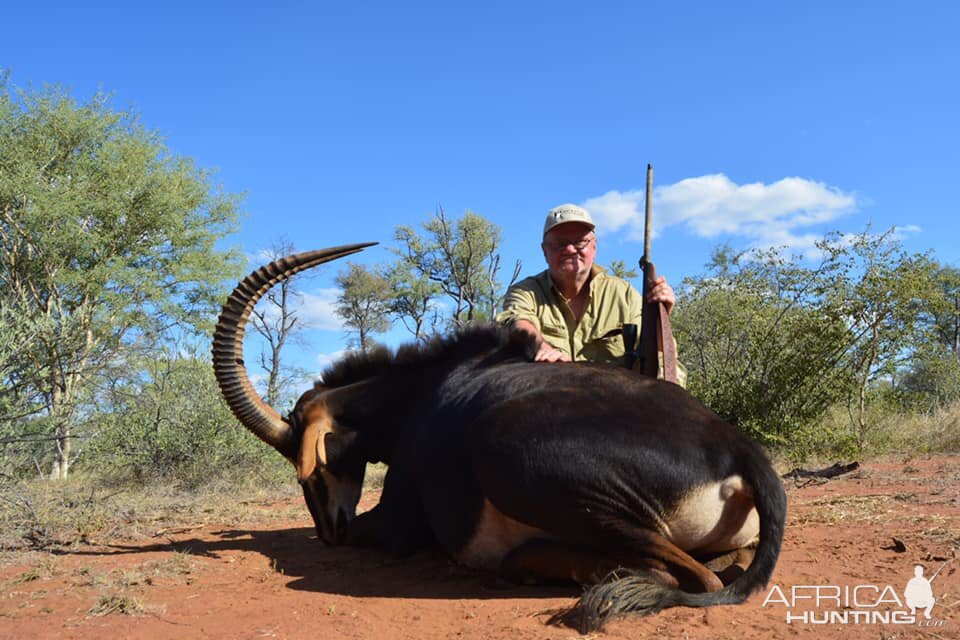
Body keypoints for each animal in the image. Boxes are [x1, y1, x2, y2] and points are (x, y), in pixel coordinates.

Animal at [216, 244, 788, 632]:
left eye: (309, 468)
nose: (328, 531)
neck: (421, 392)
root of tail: (736, 447)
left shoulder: (398, 526)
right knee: (717, 569)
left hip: (503, 446)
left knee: (693, 580)